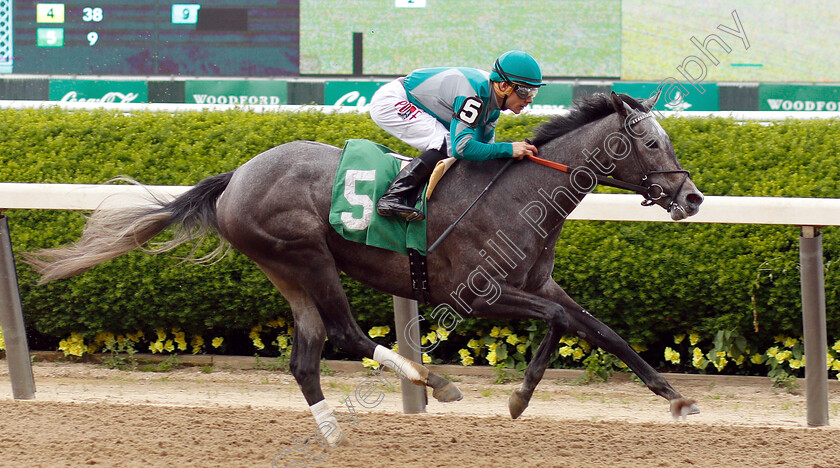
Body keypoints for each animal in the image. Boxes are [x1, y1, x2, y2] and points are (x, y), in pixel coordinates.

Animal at [26, 91, 704, 446]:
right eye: (650, 142)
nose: (693, 197)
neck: (518, 193)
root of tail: (236, 176)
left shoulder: (538, 282)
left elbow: (598, 328)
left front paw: (675, 398)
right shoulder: (480, 292)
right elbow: (563, 323)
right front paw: (515, 398)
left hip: (284, 269)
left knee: (305, 356)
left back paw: (333, 433)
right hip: (306, 255)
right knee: (345, 333)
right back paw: (434, 383)